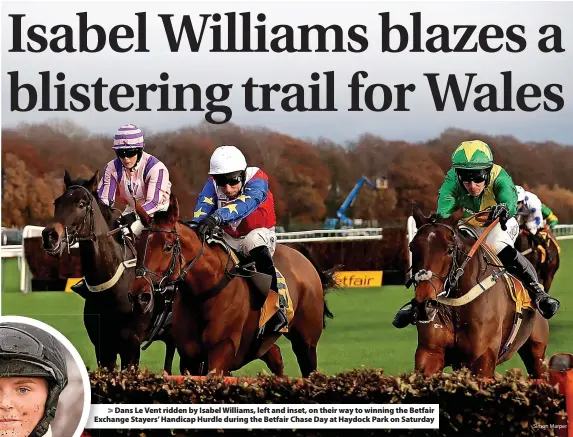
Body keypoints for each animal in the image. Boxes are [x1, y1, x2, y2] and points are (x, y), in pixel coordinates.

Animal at [130, 192, 336, 376]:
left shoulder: (223, 348)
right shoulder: (190, 356)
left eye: (168, 246)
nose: (140, 295)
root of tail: (302, 256)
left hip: (306, 342)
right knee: (276, 356)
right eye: (138, 245)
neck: (203, 294)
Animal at [408, 204, 548, 378]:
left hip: (537, 354)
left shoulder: (482, 359)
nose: (424, 304)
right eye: (412, 247)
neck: (457, 306)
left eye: (450, 249)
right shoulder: (429, 353)